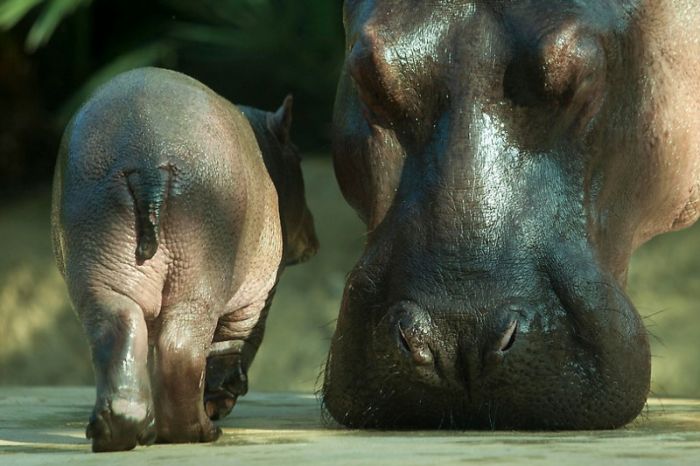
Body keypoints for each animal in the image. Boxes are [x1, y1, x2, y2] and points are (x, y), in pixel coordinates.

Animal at [50, 68, 318, 452]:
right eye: (298, 156)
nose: (314, 239)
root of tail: (147, 156)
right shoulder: (257, 296)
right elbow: (232, 349)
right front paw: (220, 401)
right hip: (200, 281)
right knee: (182, 350)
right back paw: (197, 432)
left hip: (102, 269)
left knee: (118, 330)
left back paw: (116, 432)